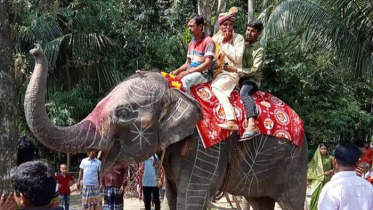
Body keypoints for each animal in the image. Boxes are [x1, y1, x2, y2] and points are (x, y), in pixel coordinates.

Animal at [24, 45, 306, 209]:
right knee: (260, 201)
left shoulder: (205, 149)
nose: (33, 50)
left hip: (294, 163)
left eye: (123, 113)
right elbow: (172, 197)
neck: (174, 90)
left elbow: (191, 198)